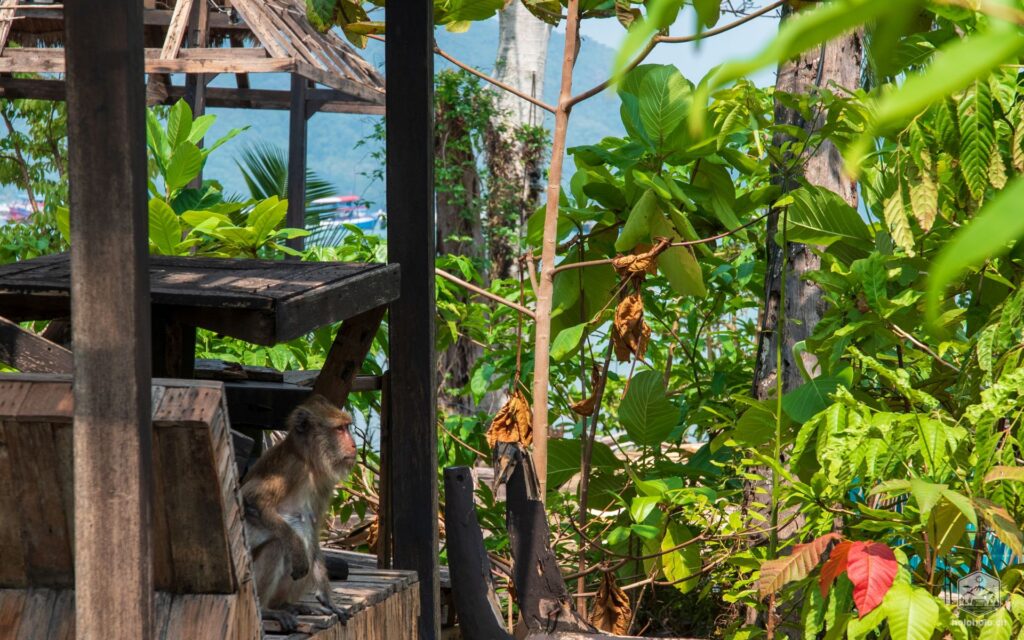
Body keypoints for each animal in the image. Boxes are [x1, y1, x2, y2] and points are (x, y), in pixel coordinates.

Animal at [241, 394, 357, 632]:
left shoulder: (323, 484)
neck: (308, 461)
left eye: (347, 427)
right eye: (340, 429)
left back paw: (286, 604)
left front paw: (327, 599)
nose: (353, 444)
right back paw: (267, 610)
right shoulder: (291, 468)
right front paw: (295, 547)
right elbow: (251, 500)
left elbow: (312, 527)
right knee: (278, 545)